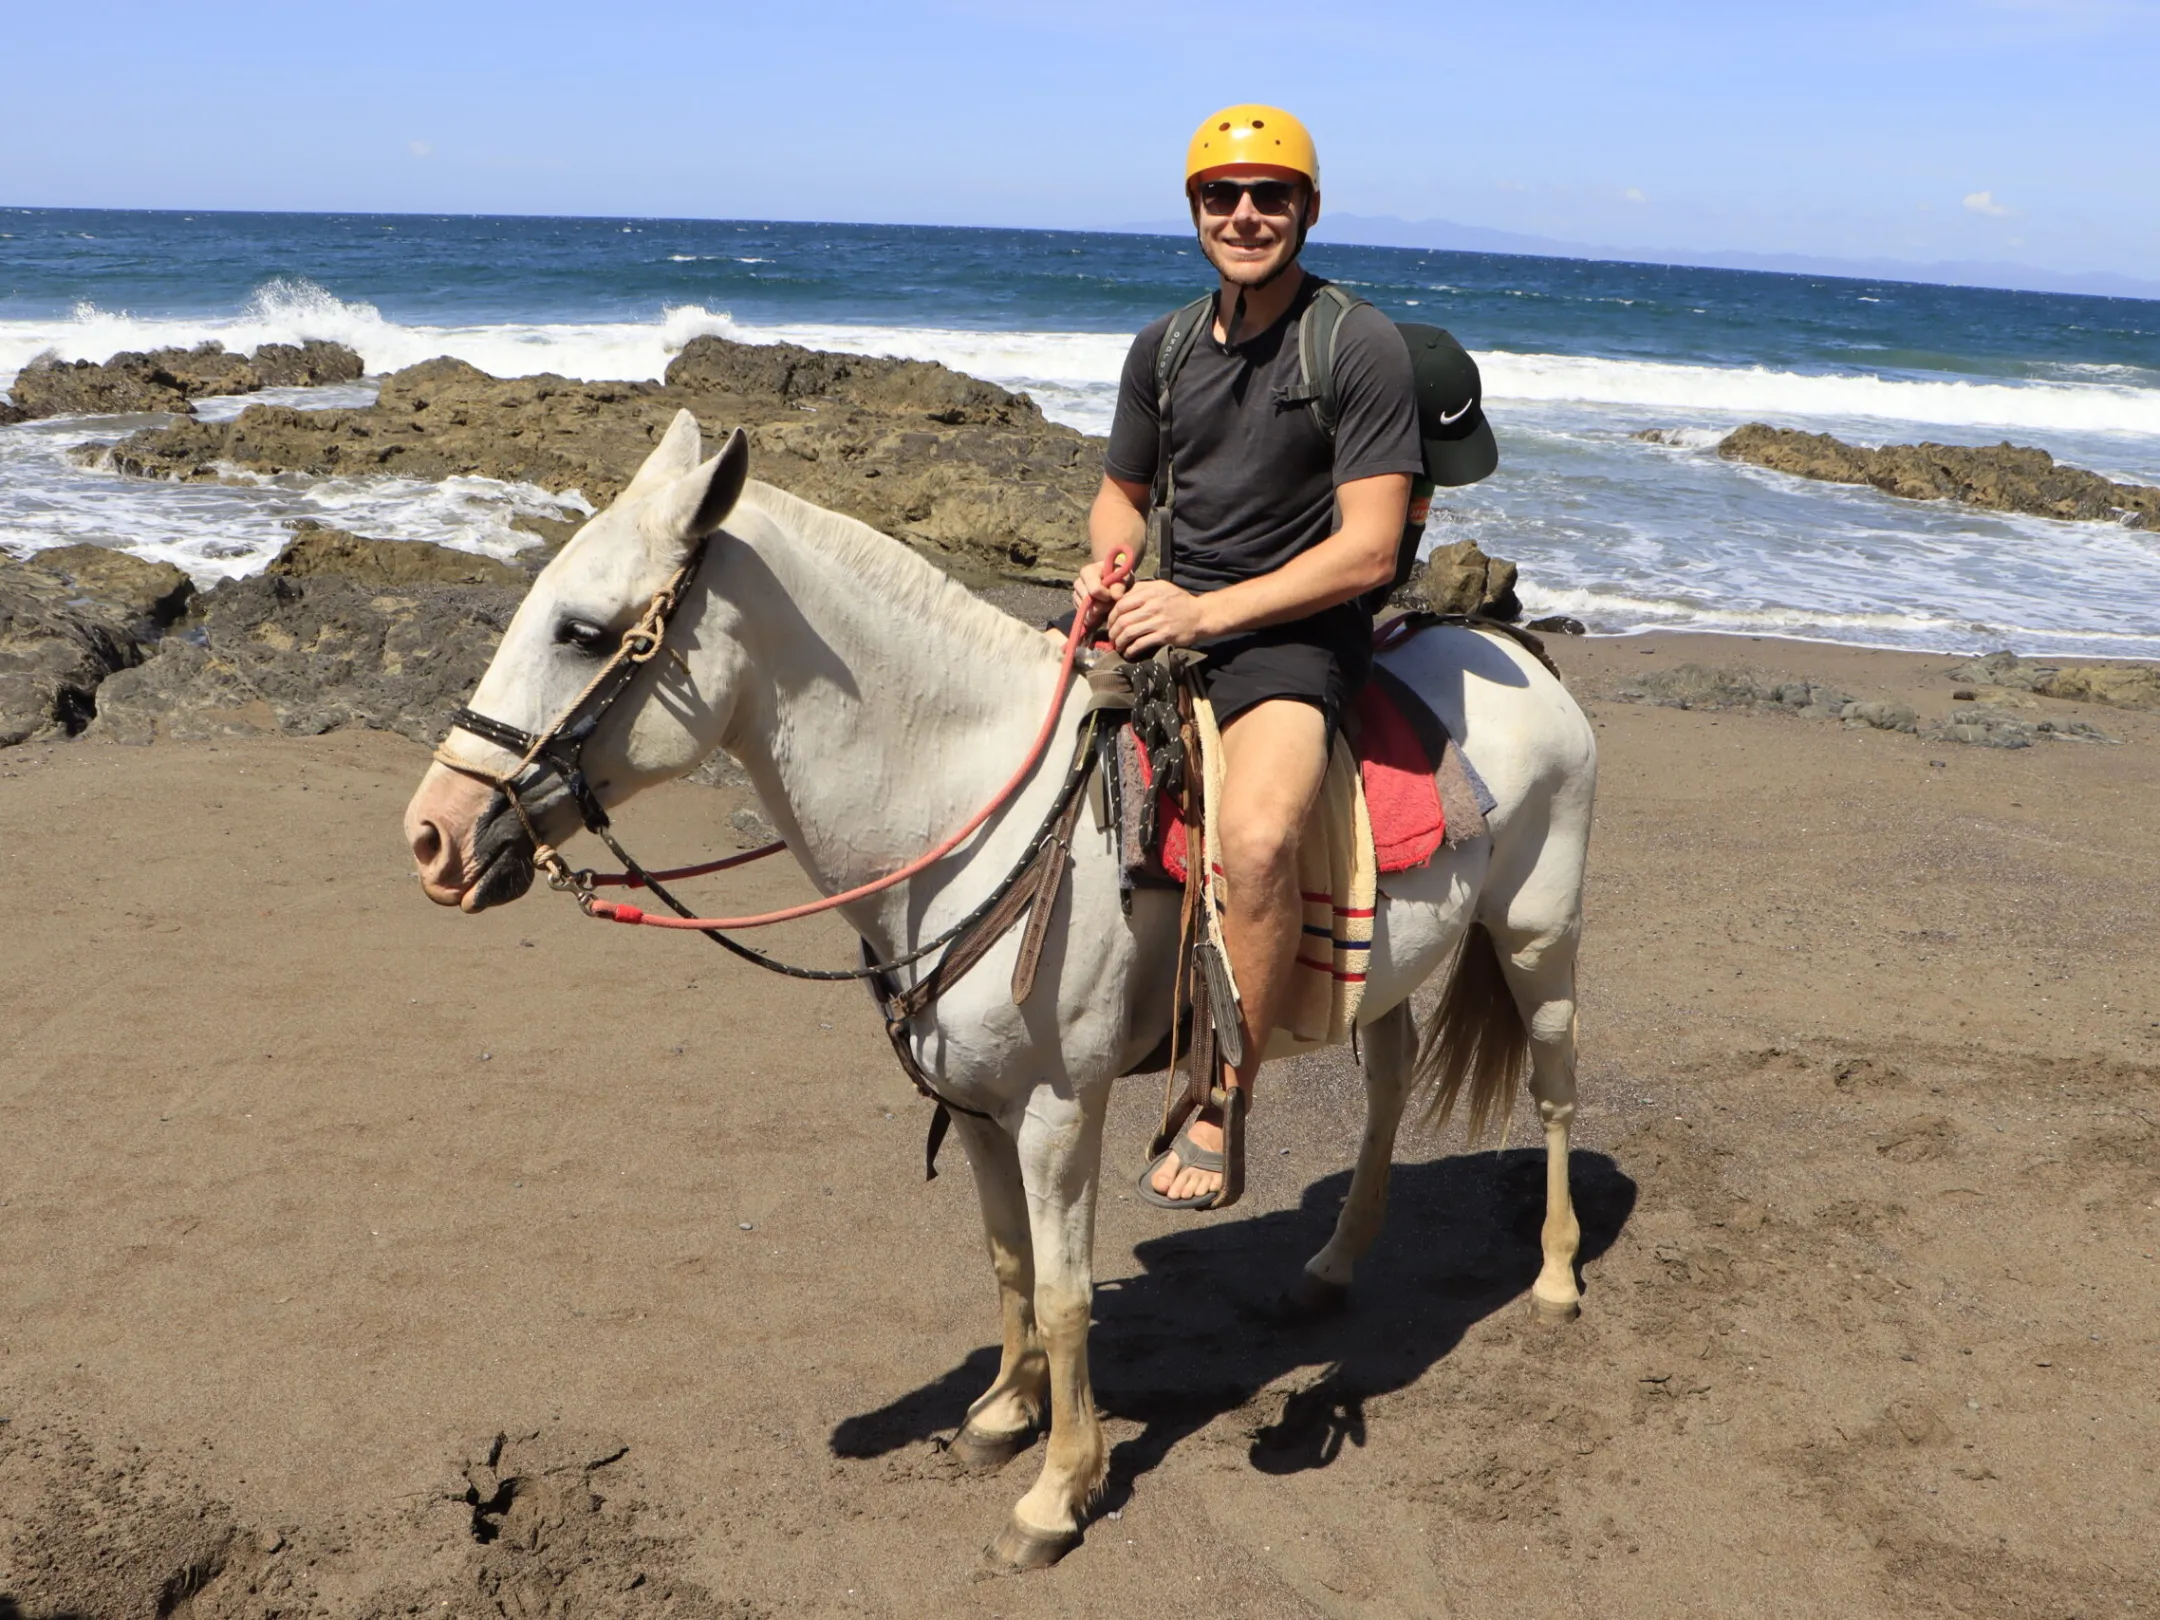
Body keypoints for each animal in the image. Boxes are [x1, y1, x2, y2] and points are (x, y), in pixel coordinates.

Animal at [403, 409, 1598, 1571]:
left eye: (582, 631)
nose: (433, 836)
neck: (970, 808)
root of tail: (1514, 651)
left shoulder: (1061, 1109)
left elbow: (1067, 1295)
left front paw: (1059, 1491)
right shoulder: (976, 1105)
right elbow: (1008, 1259)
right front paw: (1003, 1415)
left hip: (1538, 937)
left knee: (1552, 1092)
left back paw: (1553, 1279)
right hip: (1384, 976)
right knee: (1389, 1092)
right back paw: (1333, 1266)